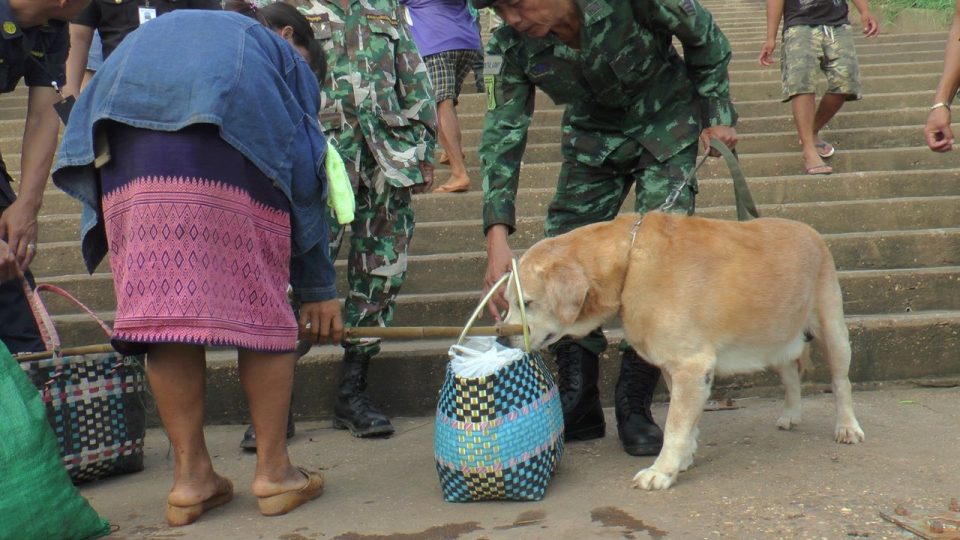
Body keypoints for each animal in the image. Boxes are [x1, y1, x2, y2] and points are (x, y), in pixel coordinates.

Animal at [506, 211, 868, 490]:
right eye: (508, 302)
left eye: (527, 303)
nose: (504, 339)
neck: (630, 263)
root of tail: (810, 230)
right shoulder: (674, 368)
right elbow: (687, 422)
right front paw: (684, 458)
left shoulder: (691, 365)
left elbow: (675, 426)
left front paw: (662, 471)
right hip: (775, 336)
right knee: (791, 375)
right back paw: (791, 414)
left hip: (832, 329)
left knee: (841, 383)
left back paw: (848, 426)